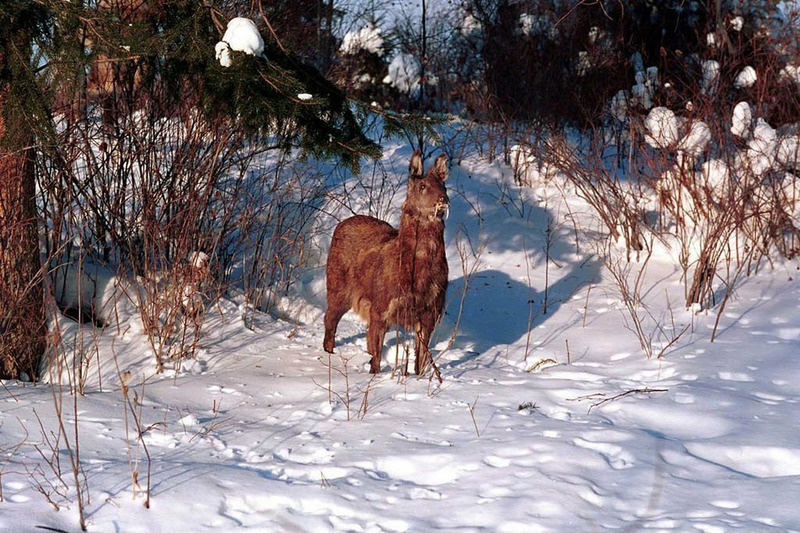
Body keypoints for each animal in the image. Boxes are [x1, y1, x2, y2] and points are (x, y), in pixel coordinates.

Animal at [324, 148, 450, 376]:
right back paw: (328, 354)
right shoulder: (380, 306)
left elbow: (421, 359)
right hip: (337, 286)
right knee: (330, 319)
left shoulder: (430, 312)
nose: (443, 199)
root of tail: (341, 225)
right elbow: (376, 354)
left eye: (443, 185)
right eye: (423, 186)